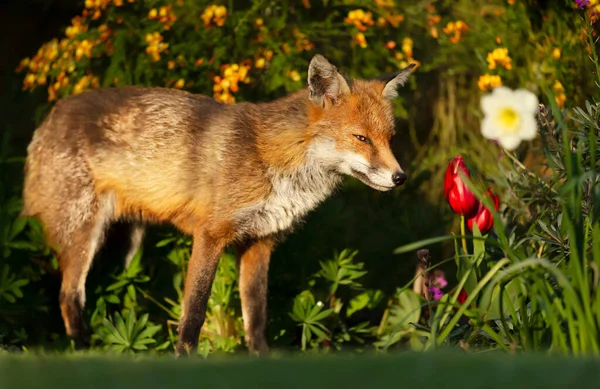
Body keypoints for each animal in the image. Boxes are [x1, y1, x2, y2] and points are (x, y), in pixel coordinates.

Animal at [21, 54, 414, 354]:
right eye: (361, 138)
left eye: (390, 139)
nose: (401, 178)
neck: (274, 160)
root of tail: (50, 116)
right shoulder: (210, 235)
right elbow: (194, 312)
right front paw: (185, 359)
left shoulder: (260, 242)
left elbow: (255, 315)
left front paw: (261, 359)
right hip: (84, 235)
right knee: (68, 294)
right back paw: (83, 348)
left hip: (129, 246)